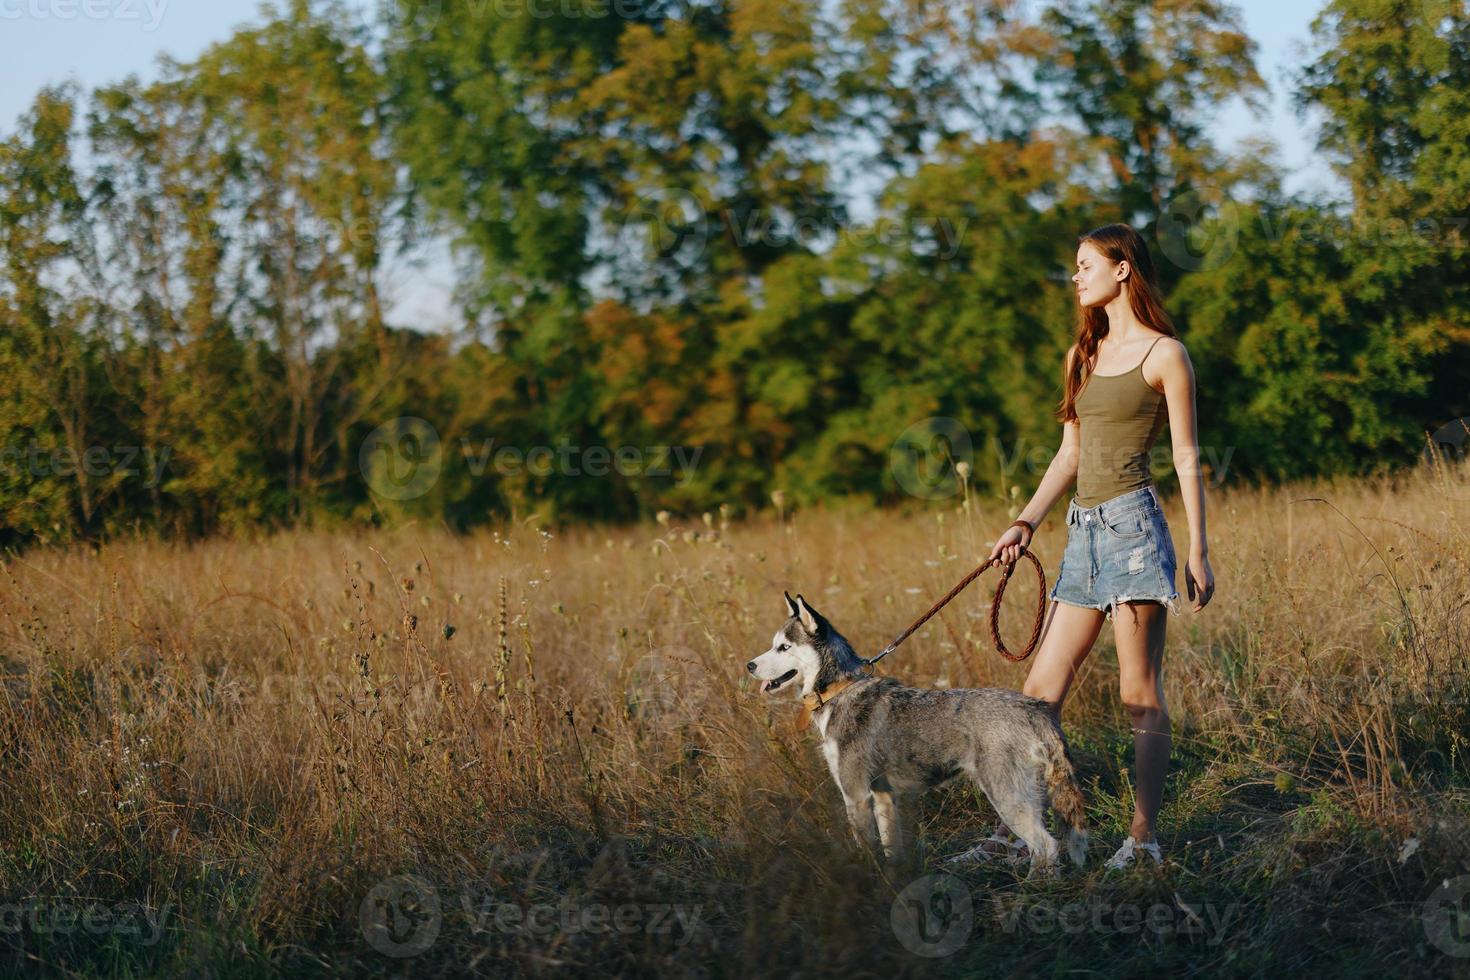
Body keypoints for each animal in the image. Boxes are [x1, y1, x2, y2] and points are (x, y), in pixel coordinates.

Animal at [752, 590, 1087, 875]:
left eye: (784, 647)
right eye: (773, 644)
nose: (749, 666)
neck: (840, 689)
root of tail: (1034, 708)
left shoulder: (855, 795)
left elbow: (866, 850)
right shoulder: (884, 798)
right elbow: (892, 851)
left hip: (1007, 796)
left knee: (1047, 846)